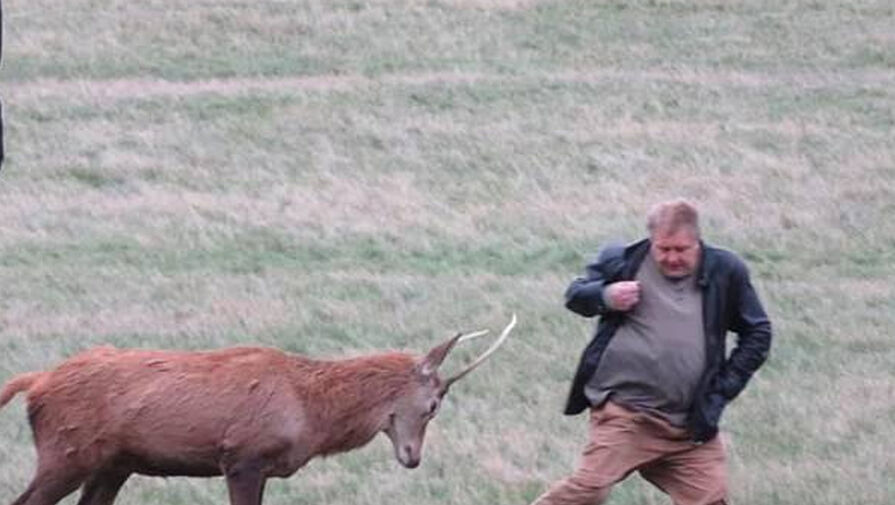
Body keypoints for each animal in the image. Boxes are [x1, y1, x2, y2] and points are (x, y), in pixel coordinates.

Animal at [0, 314, 517, 505]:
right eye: (432, 405)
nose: (413, 457)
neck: (311, 414)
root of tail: (35, 384)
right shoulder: (243, 457)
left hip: (113, 463)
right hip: (66, 452)